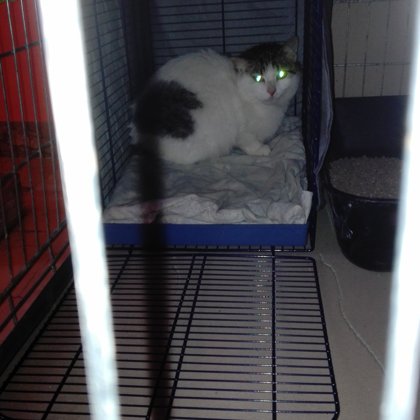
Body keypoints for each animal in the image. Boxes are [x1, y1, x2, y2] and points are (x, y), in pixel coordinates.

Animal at [133, 38, 301, 165]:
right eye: (258, 78)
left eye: (281, 74)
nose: (272, 91)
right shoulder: (241, 130)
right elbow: (247, 140)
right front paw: (260, 149)